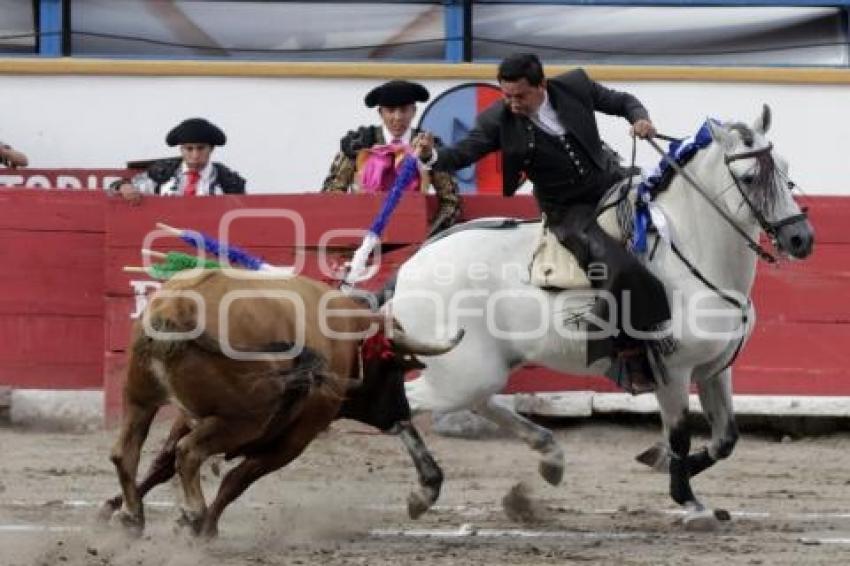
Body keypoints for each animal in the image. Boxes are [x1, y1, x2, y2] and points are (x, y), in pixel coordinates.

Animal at [102, 270, 460, 536]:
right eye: (395, 367)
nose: (401, 412)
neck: (347, 338)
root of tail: (176, 307)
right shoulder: (295, 440)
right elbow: (236, 481)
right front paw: (206, 528)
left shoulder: (190, 417)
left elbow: (162, 464)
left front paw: (114, 508)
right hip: (243, 420)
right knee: (189, 453)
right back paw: (194, 514)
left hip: (139, 398)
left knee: (127, 452)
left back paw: (133, 516)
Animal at [388, 107, 812, 532]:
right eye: (749, 178)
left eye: (785, 168)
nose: (801, 239)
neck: (694, 253)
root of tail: (410, 265)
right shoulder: (672, 371)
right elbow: (679, 435)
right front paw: (691, 503)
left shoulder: (715, 369)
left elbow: (726, 438)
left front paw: (660, 464)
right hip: (464, 372)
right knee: (409, 403)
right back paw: (426, 489)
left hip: (481, 368)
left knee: (478, 402)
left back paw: (549, 458)